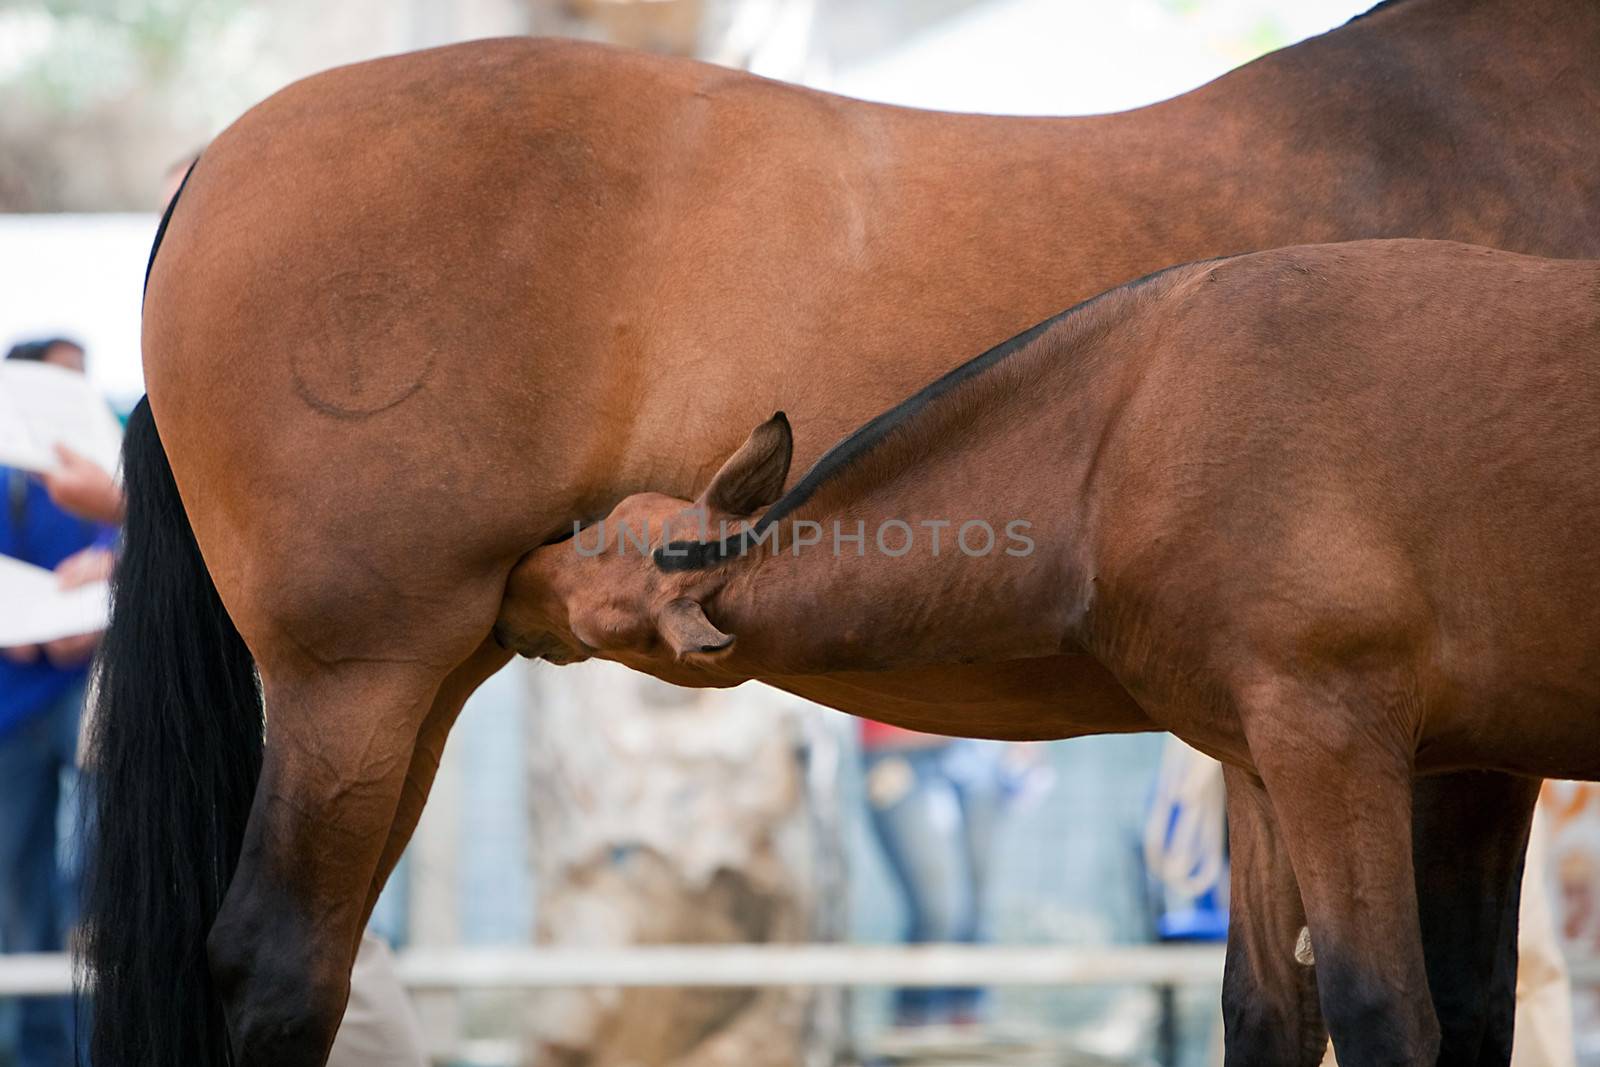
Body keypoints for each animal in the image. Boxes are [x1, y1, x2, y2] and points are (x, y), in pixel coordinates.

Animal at [496, 239, 1600, 1067]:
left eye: (600, 552)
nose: (514, 575)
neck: (1132, 426)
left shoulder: (1335, 745)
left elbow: (1383, 1012)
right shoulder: (1280, 762)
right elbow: (1280, 1014)